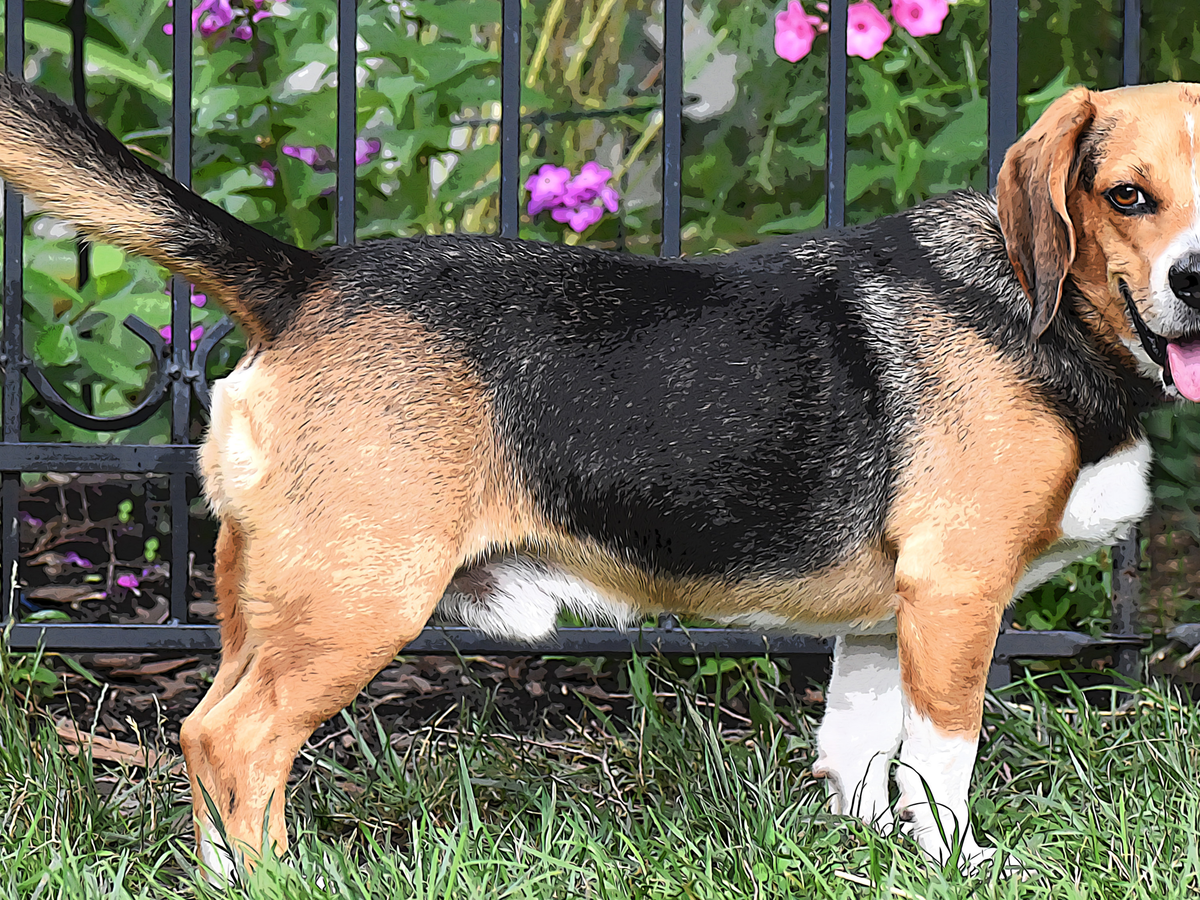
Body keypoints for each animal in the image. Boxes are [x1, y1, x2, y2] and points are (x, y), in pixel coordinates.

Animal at [1, 74, 1198, 877]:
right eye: (1127, 197)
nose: (1195, 278)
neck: (1046, 314)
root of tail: (306, 279)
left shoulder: (884, 621)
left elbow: (864, 757)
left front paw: (871, 852)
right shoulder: (955, 597)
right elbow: (942, 764)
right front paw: (954, 863)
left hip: (268, 602)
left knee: (208, 741)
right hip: (360, 600)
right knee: (232, 740)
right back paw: (281, 882)